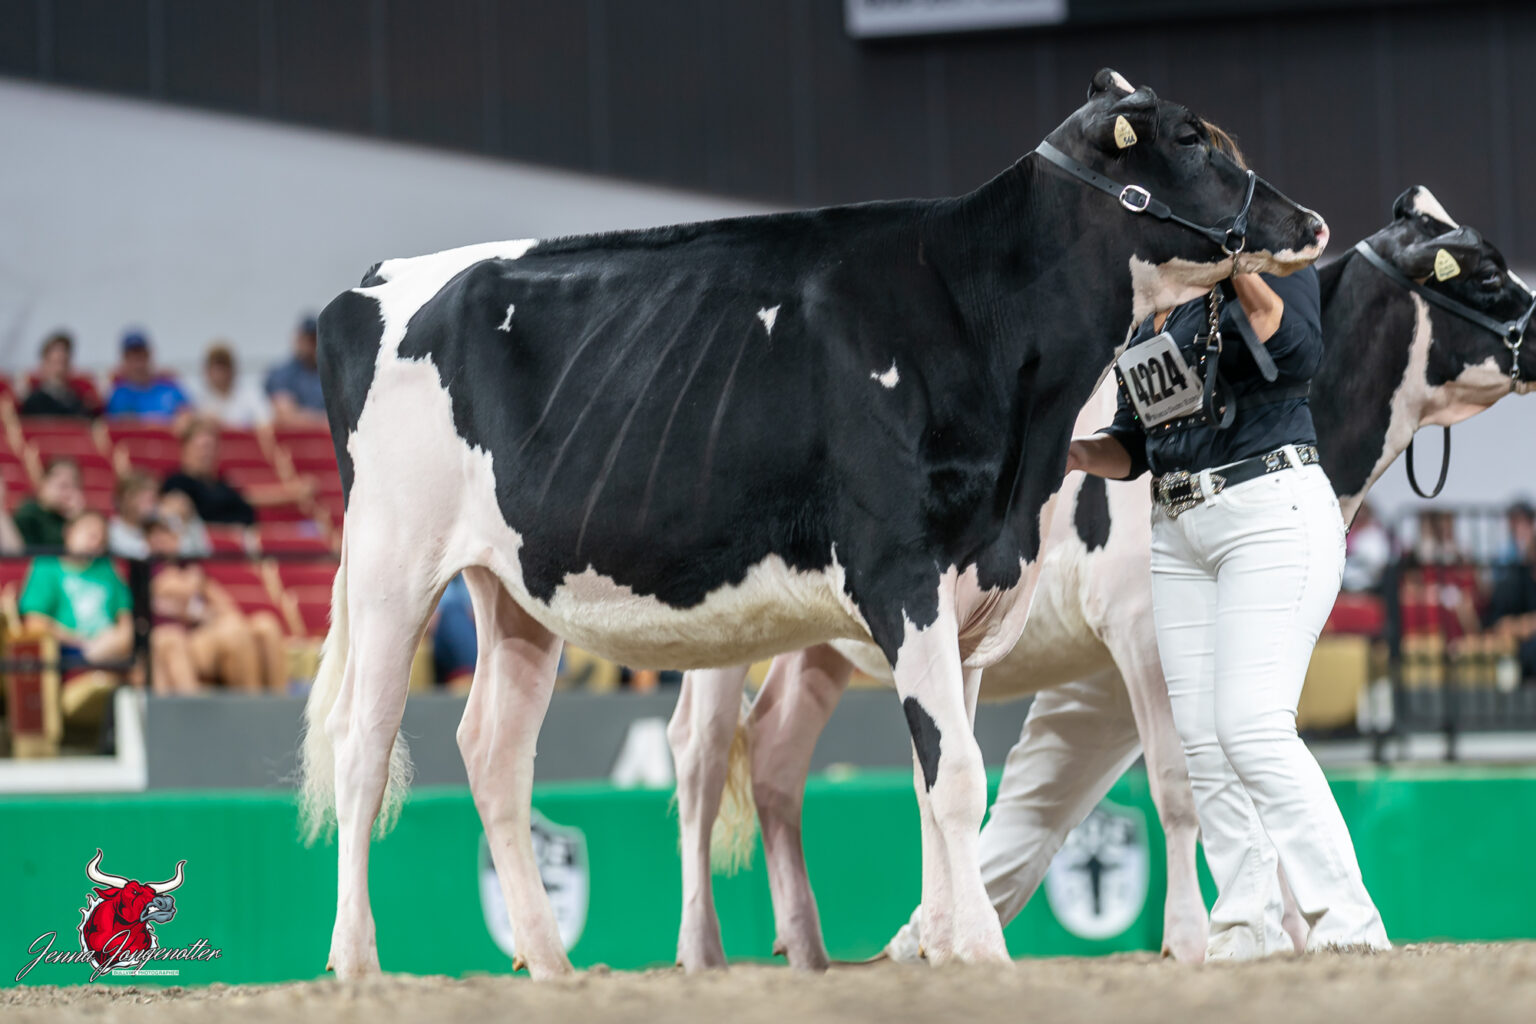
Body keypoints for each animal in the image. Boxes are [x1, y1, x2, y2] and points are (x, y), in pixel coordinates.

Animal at [298, 68, 1327, 980]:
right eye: (1190, 138)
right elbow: (958, 778)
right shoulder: (902, 575)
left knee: (494, 752)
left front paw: (944, 945)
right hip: (393, 562)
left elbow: (937, 777)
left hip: (512, 587)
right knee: (363, 745)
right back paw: (357, 962)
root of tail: (377, 280)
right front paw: (983, 951)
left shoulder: (975, 587)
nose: (1311, 223)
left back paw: (552, 965)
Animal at [672, 186, 1536, 970]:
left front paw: (1286, 933)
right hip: (719, 631)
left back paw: (810, 952)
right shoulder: (1138, 630)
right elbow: (1179, 786)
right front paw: (1193, 939)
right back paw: (701, 952)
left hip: (816, 640)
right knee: (702, 756)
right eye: (1490, 270)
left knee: (775, 756)